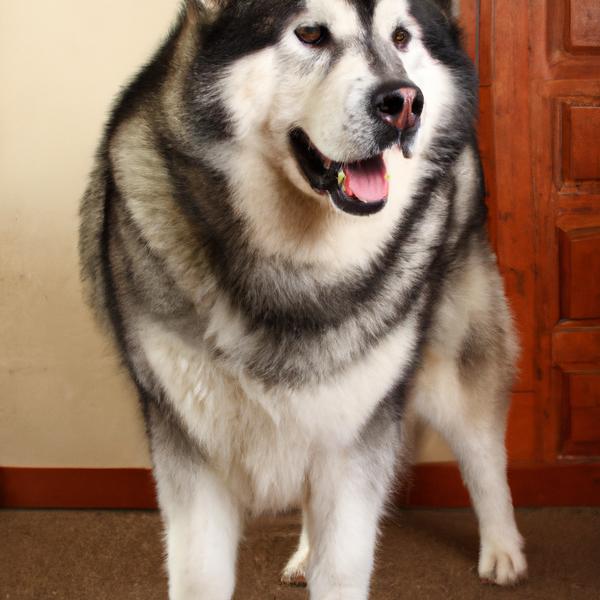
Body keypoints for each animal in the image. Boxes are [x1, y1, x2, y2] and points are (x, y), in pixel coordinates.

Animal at [78, 1, 524, 596]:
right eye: (310, 33)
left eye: (401, 37)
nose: (405, 103)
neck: (297, 268)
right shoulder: (190, 448)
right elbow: (201, 571)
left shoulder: (357, 439)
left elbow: (344, 565)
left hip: (452, 358)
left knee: (482, 451)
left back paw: (502, 549)